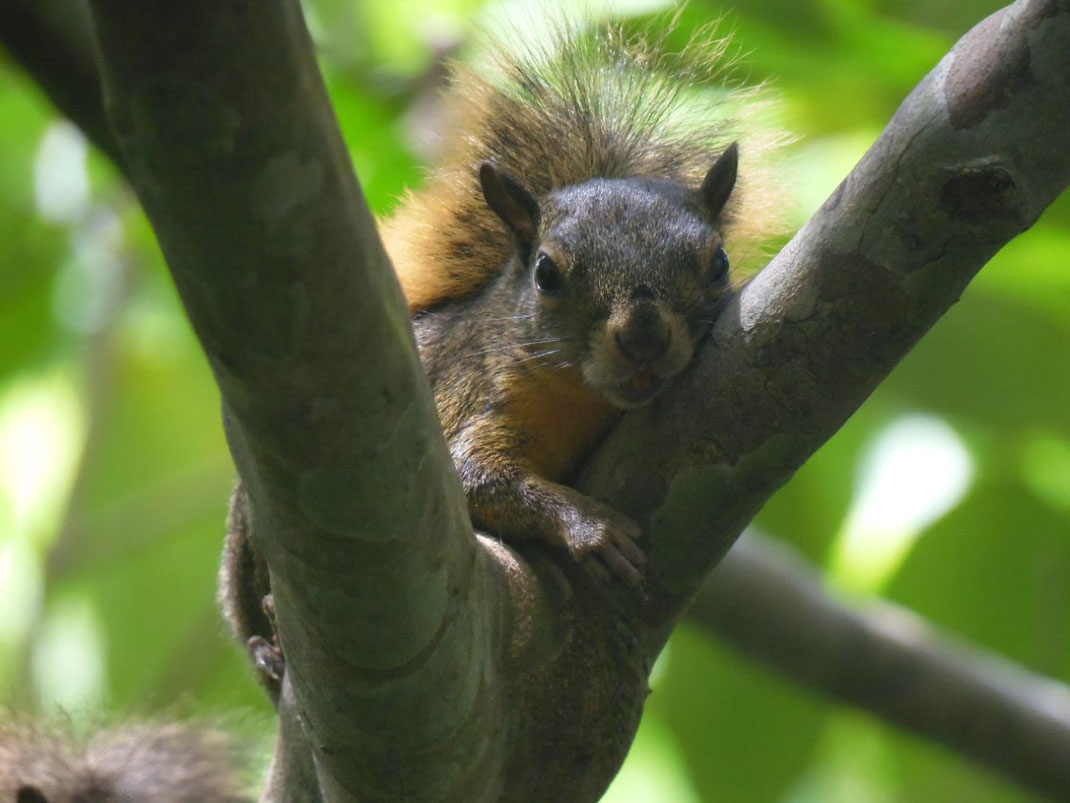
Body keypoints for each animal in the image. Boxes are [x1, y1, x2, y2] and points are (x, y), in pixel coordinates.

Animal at [221, 21, 783, 702]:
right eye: (546, 273)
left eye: (719, 264)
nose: (644, 338)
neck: (583, 399)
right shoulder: (474, 399)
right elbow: (475, 478)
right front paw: (590, 528)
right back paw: (266, 647)